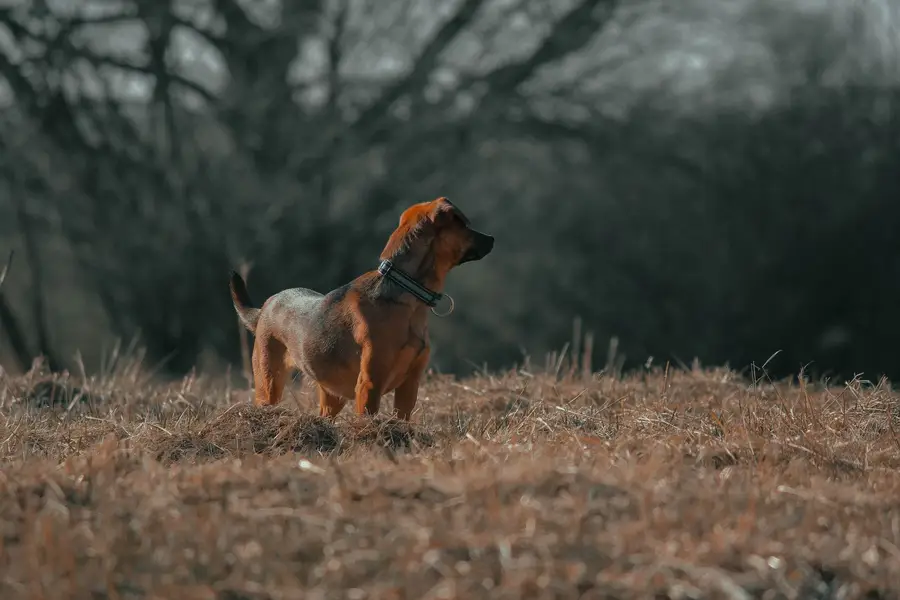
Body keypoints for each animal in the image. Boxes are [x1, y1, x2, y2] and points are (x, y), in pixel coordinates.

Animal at [225, 199, 492, 420]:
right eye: (464, 225)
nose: (492, 238)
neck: (404, 289)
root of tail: (264, 309)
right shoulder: (369, 385)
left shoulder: (410, 385)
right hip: (268, 383)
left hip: (330, 395)